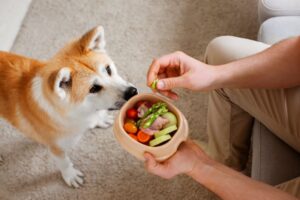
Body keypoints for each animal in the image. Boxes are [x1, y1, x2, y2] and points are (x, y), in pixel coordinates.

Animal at [0, 26, 138, 188]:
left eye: (108, 69)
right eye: (94, 88)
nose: (133, 92)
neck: (77, 112)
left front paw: (100, 119)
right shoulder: (55, 147)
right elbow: (64, 162)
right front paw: (70, 175)